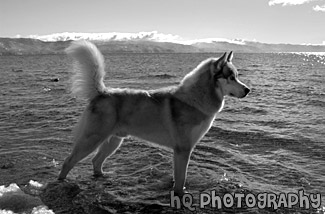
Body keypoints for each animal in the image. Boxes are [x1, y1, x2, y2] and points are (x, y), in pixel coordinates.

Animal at [57, 40, 251, 196]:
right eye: (231, 77)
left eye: (237, 76)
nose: (248, 90)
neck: (195, 99)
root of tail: (102, 92)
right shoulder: (183, 149)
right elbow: (181, 179)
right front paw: (180, 194)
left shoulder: (182, 150)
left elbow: (178, 177)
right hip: (91, 139)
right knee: (68, 162)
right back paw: (61, 182)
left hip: (114, 141)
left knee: (96, 161)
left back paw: (103, 177)